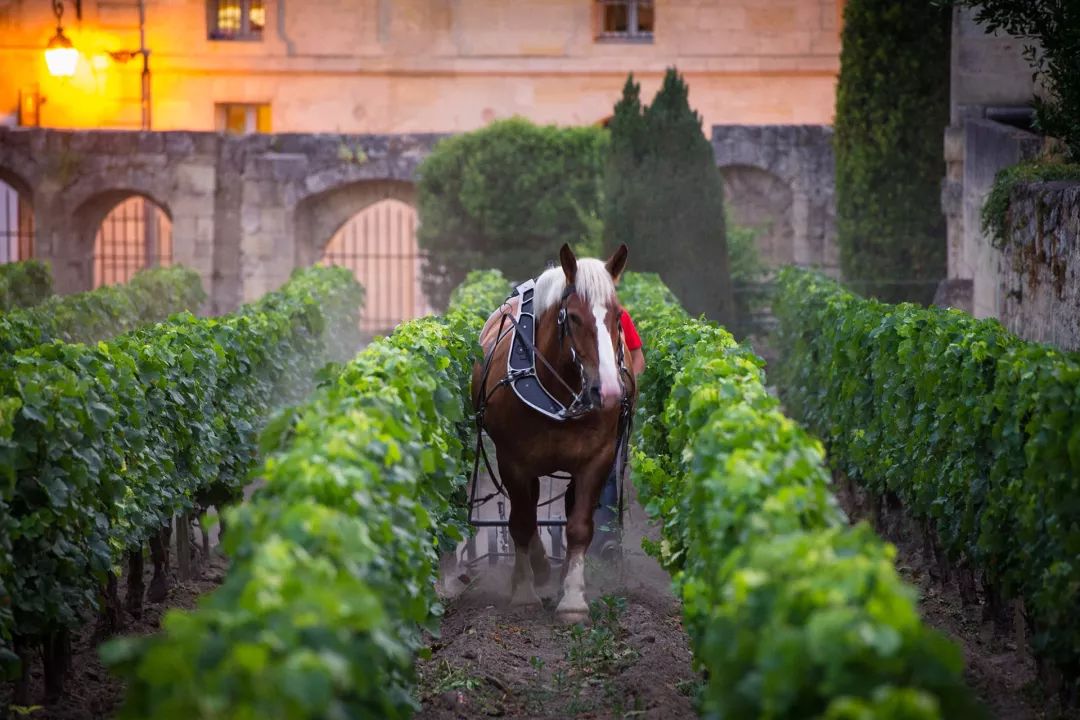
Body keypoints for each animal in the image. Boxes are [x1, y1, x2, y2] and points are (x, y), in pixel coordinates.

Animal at [470, 241, 630, 626]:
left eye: (617, 315)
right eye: (572, 317)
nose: (608, 392)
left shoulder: (597, 459)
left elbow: (579, 526)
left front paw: (572, 599)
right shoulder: (513, 460)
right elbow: (521, 522)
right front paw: (524, 592)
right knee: (525, 511)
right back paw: (539, 570)